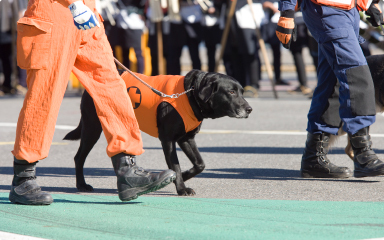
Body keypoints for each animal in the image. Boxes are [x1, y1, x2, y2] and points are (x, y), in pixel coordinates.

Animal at [64, 69, 254, 195]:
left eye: (242, 92)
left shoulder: (186, 138)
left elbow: (200, 164)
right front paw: (181, 188)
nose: (249, 109)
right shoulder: (168, 140)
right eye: (230, 92)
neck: (190, 94)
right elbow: (175, 165)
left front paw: (185, 176)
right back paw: (82, 185)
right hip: (93, 127)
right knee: (79, 157)